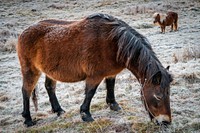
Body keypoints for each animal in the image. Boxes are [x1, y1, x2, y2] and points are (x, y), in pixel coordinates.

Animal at [17, 13, 173, 127]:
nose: (166, 122)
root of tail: (22, 33)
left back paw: (59, 110)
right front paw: (86, 115)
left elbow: (111, 86)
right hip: (31, 70)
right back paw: (28, 119)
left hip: (50, 71)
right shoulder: (95, 76)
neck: (114, 42)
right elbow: (90, 93)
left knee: (49, 87)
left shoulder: (111, 73)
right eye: (158, 96)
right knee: (26, 91)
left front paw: (113, 105)